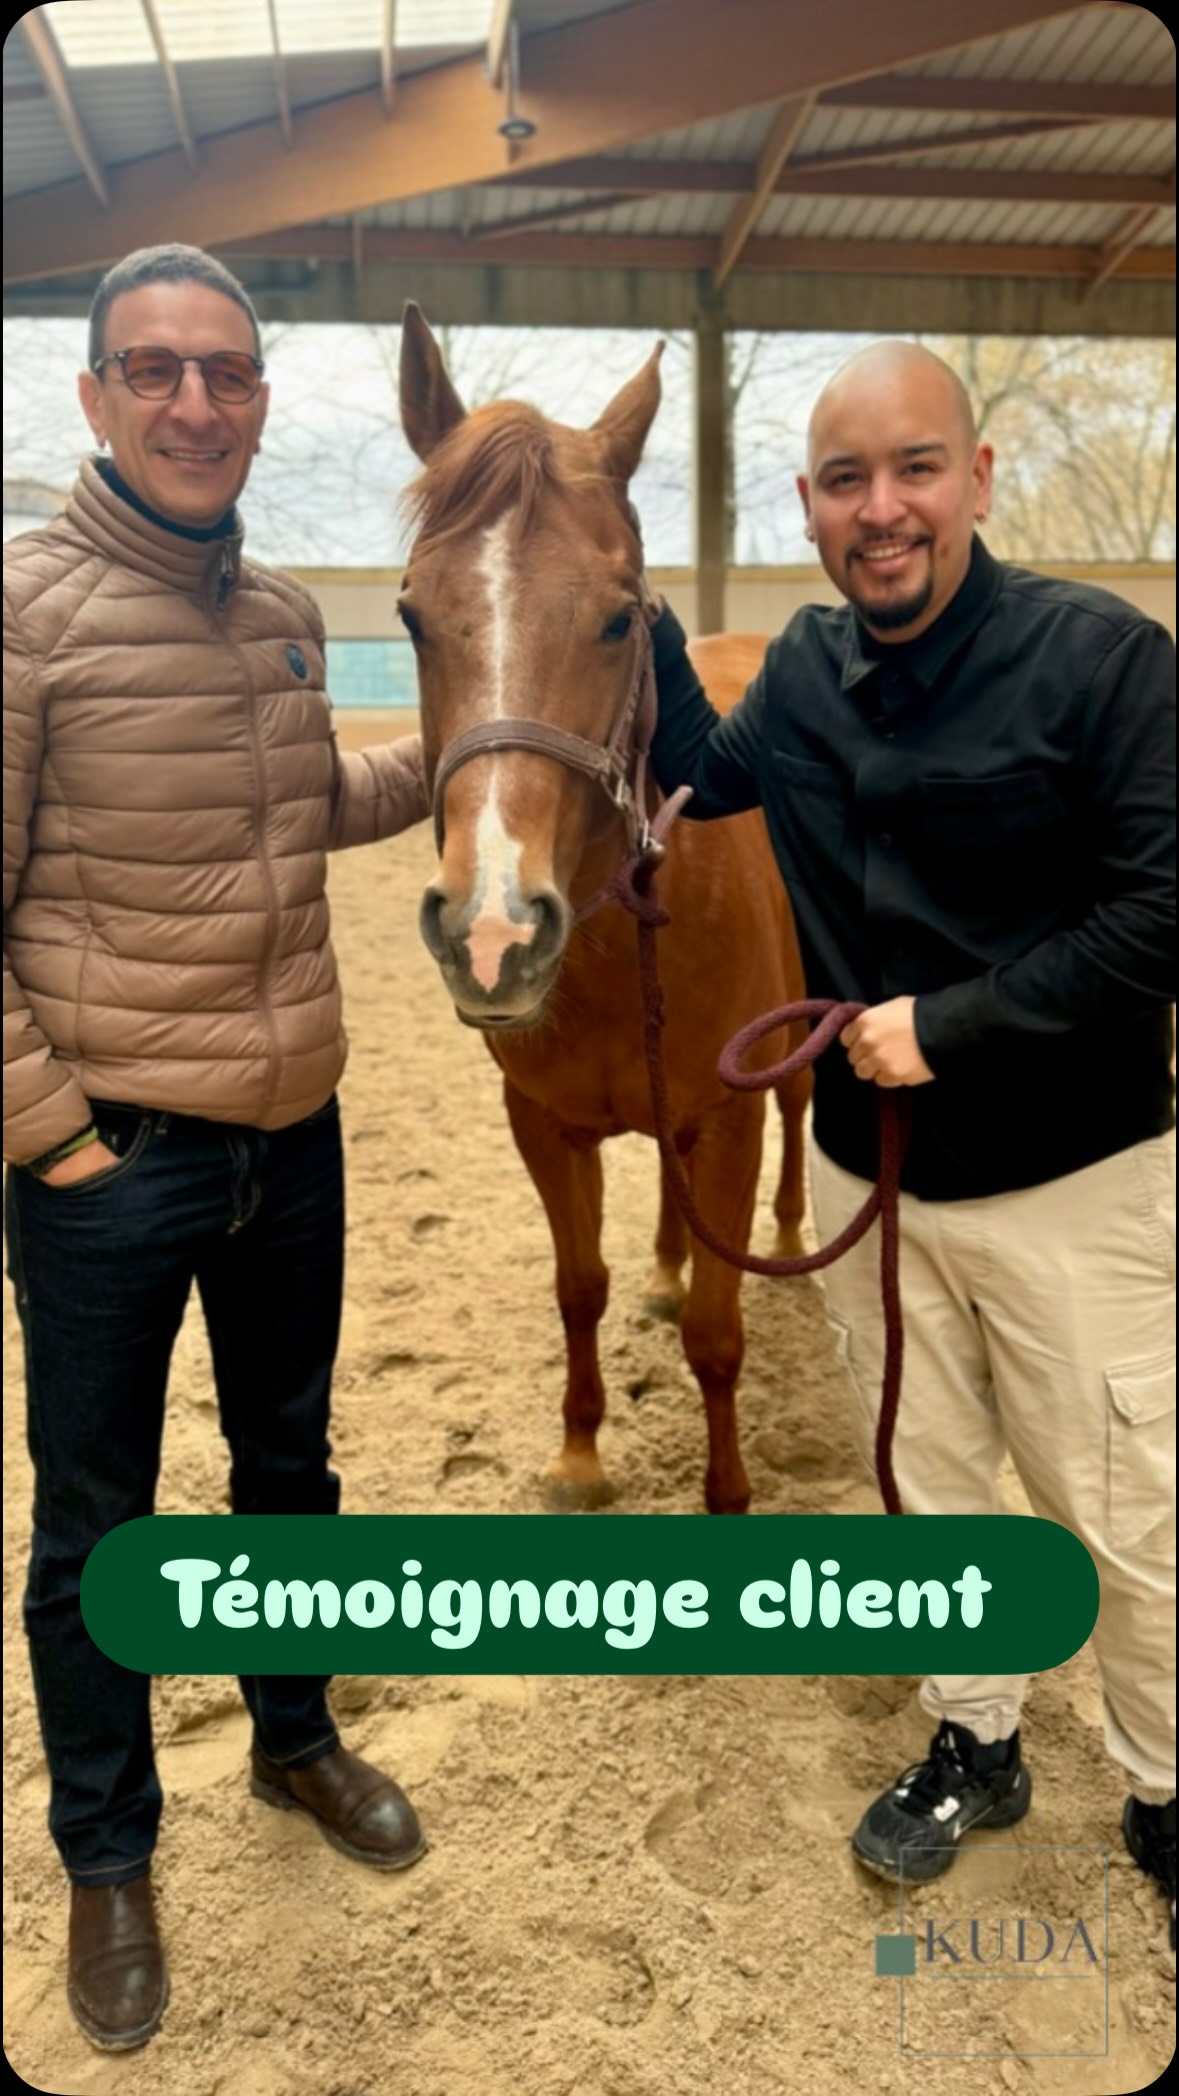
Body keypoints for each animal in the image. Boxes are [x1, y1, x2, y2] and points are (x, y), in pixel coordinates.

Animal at [398, 305, 809, 1514]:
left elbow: (719, 1336)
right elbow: (578, 1284)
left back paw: (789, 1230)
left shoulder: (732, 1117)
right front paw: (579, 1453)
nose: (491, 932)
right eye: (411, 616)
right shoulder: (544, 1121)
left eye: (621, 621)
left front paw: (728, 1495)